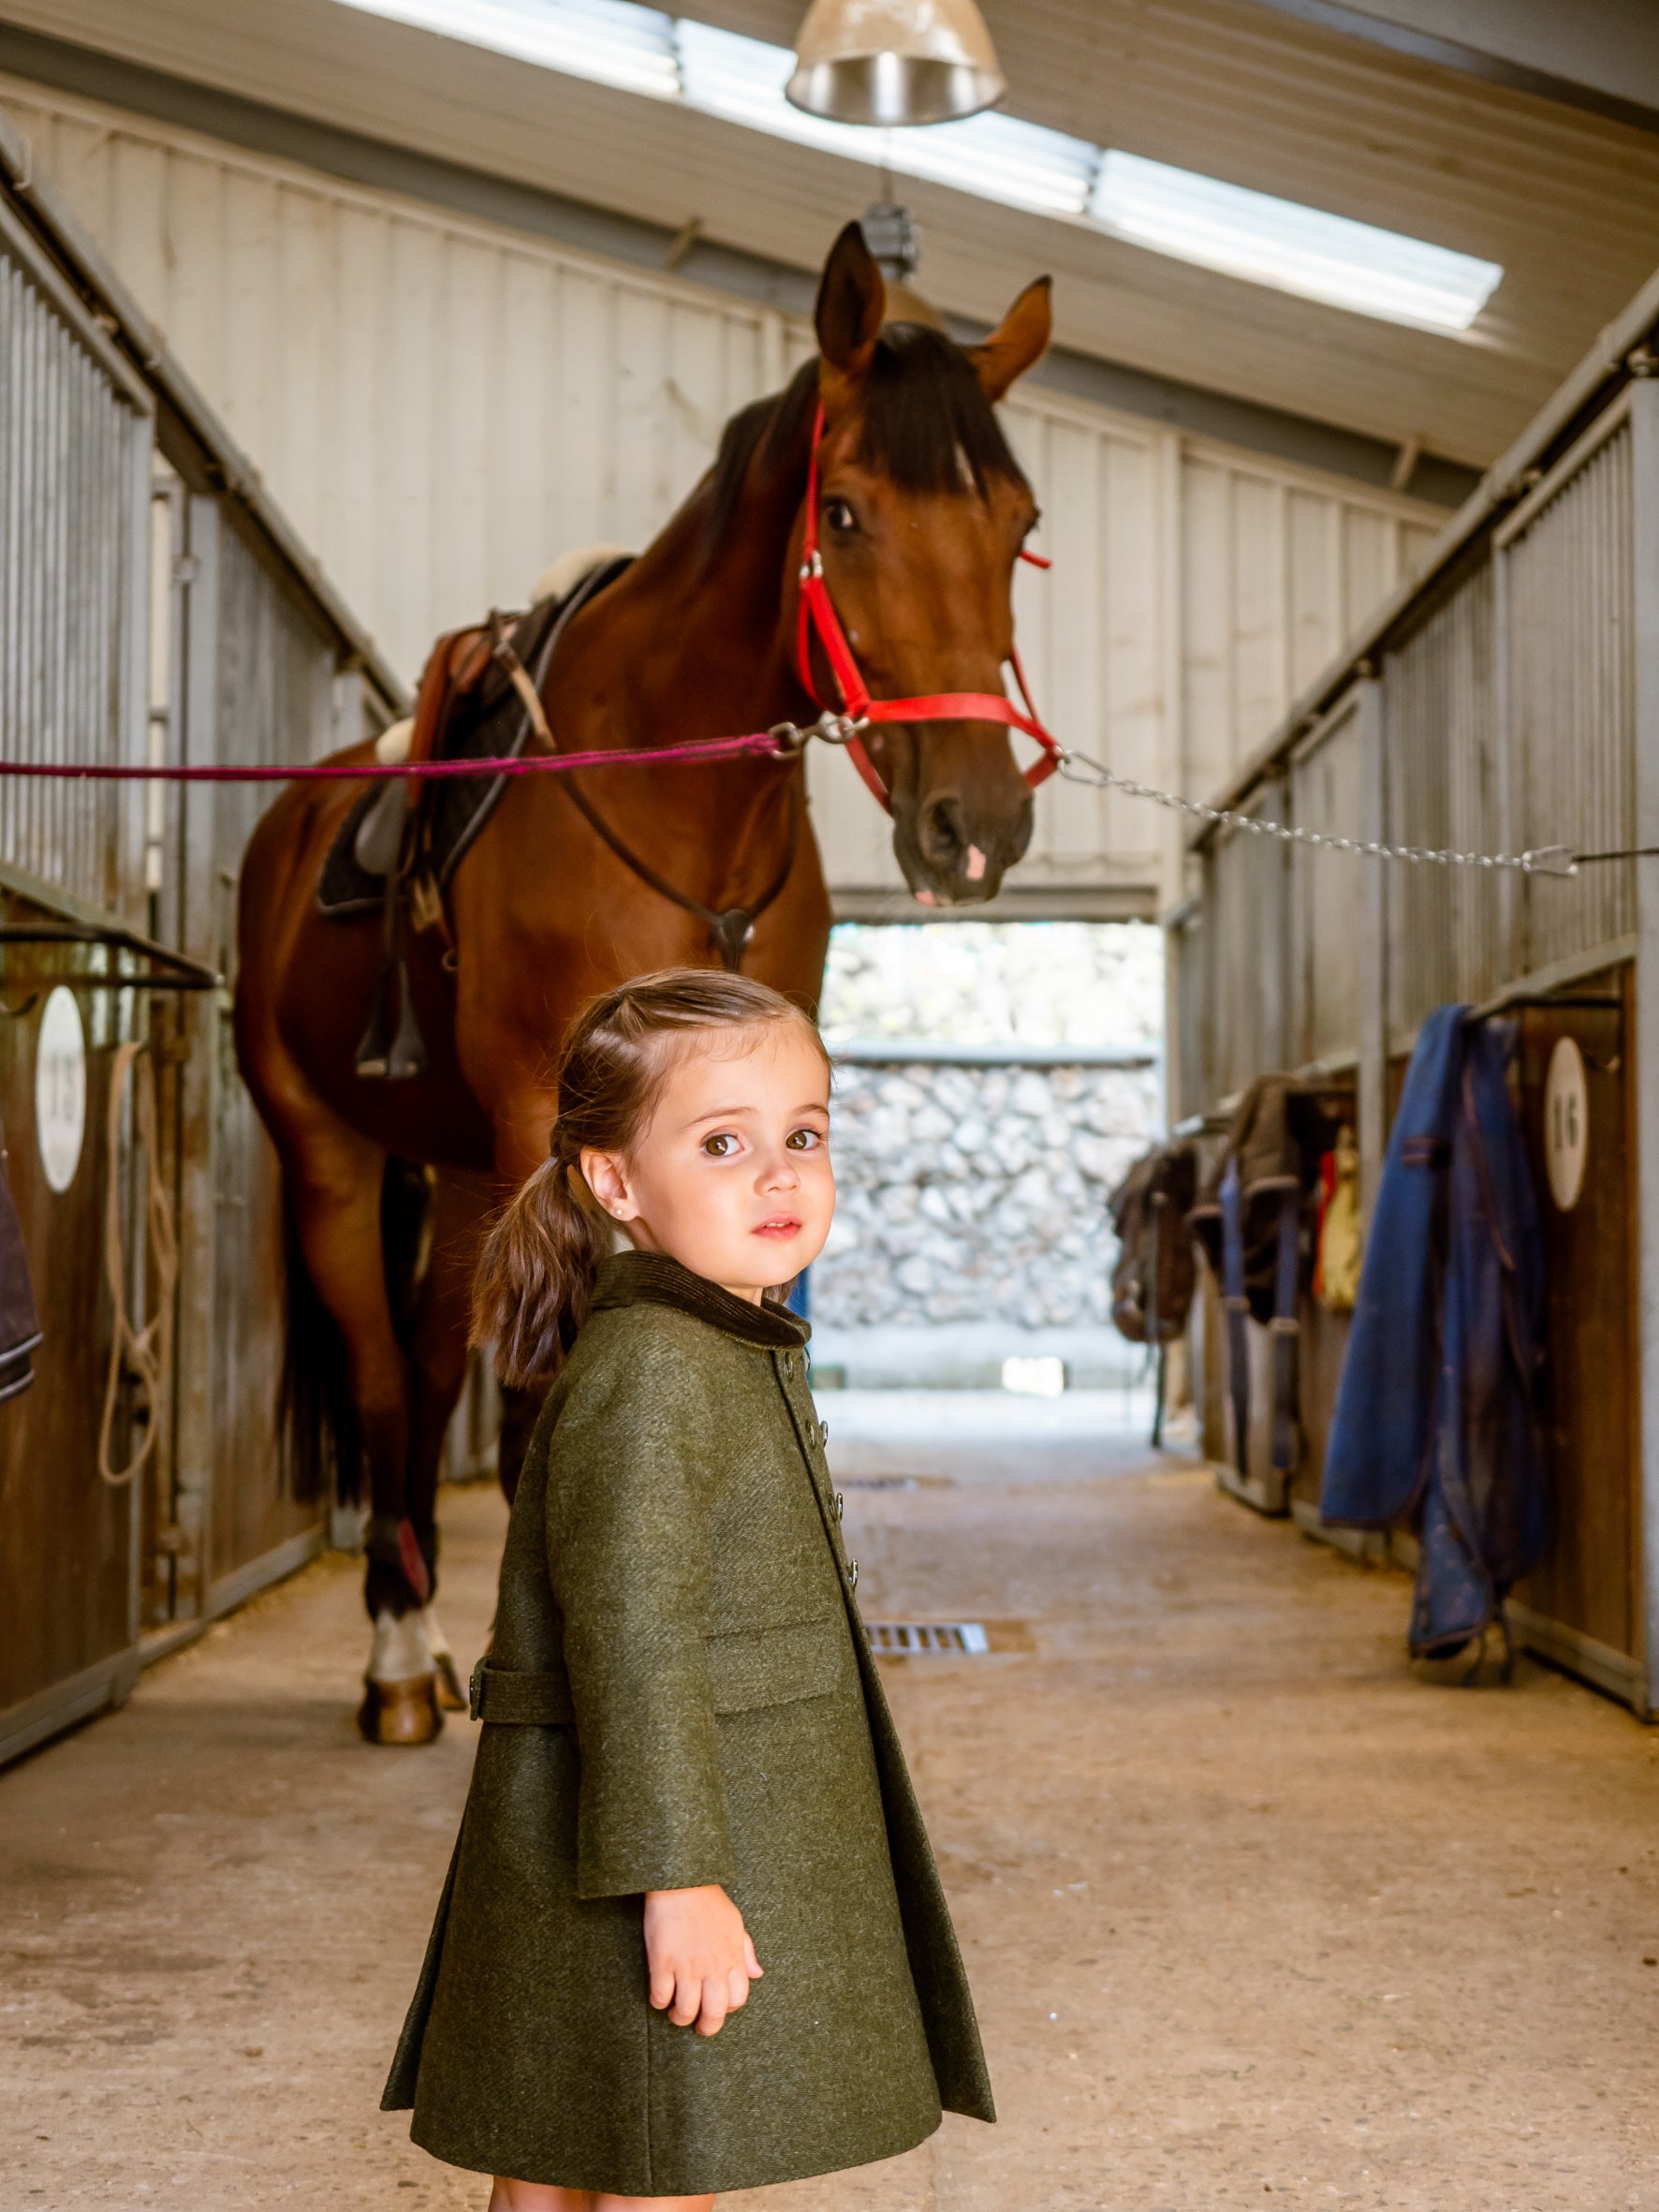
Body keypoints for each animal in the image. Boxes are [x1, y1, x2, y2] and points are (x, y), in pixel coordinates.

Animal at [234, 229, 1052, 1743]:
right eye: (844, 512)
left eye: (1018, 520)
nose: (977, 824)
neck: (679, 798)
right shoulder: (542, 1125)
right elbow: (543, 1408)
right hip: (330, 1155)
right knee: (381, 1381)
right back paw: (396, 1662)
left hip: (459, 1181)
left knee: (425, 1371)